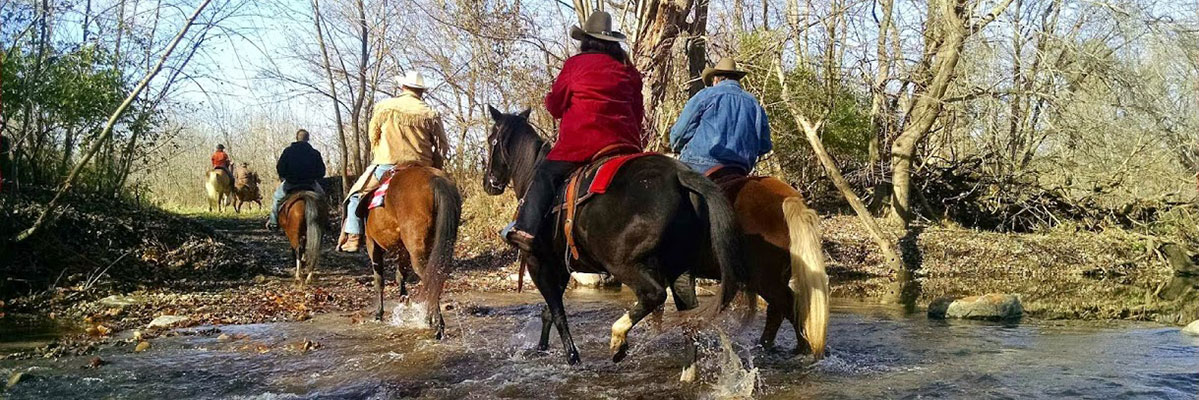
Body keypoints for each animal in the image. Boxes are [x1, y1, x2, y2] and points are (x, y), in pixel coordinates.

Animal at [359, 164, 458, 340]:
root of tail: (434, 178)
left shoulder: (372, 244)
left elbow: (379, 280)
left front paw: (379, 314)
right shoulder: (403, 249)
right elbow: (400, 275)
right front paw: (403, 300)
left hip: (416, 253)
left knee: (430, 277)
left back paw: (436, 325)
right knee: (435, 278)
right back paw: (430, 319)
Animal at [481, 107, 743, 380]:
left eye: (491, 140)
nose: (488, 184)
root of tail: (680, 174)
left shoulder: (538, 264)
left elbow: (557, 313)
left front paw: (572, 358)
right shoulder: (561, 268)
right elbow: (548, 313)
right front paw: (542, 349)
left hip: (622, 263)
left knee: (654, 294)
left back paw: (618, 340)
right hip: (679, 269)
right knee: (689, 316)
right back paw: (687, 374)